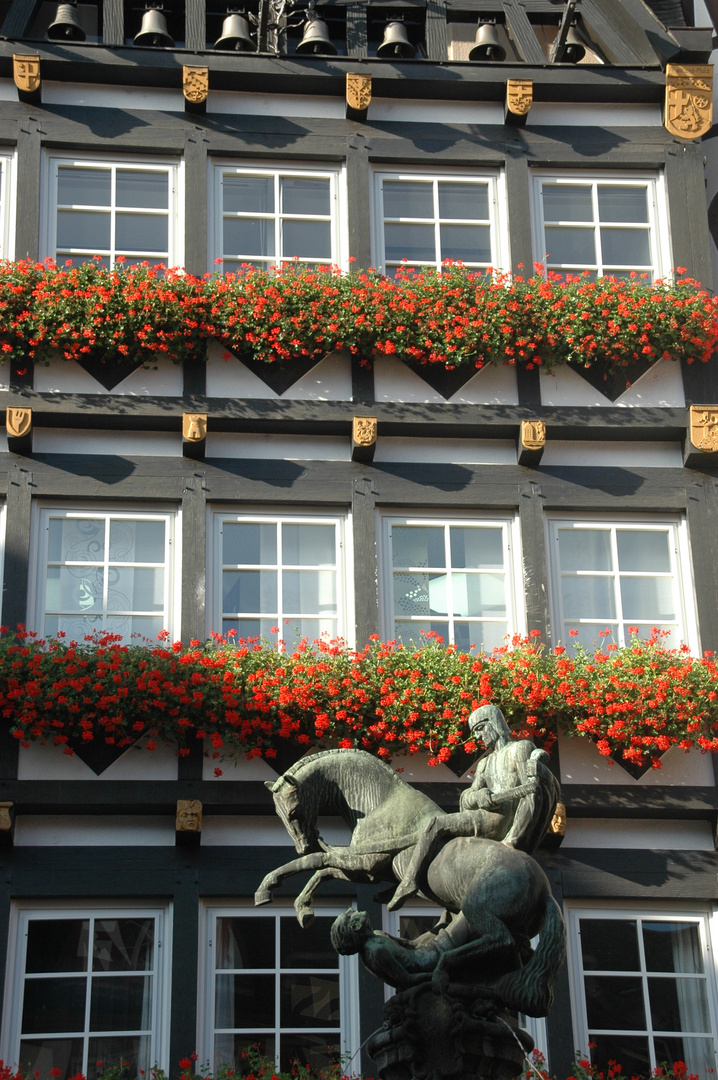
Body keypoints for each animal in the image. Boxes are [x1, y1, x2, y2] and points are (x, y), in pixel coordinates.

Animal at [254, 747, 561, 1015]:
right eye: (279, 815)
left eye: (293, 812)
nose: (303, 846)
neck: (380, 802)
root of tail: (545, 890)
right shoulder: (367, 871)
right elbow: (321, 869)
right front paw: (302, 907)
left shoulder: (364, 863)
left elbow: (316, 862)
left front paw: (269, 888)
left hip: (478, 909)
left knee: (498, 941)